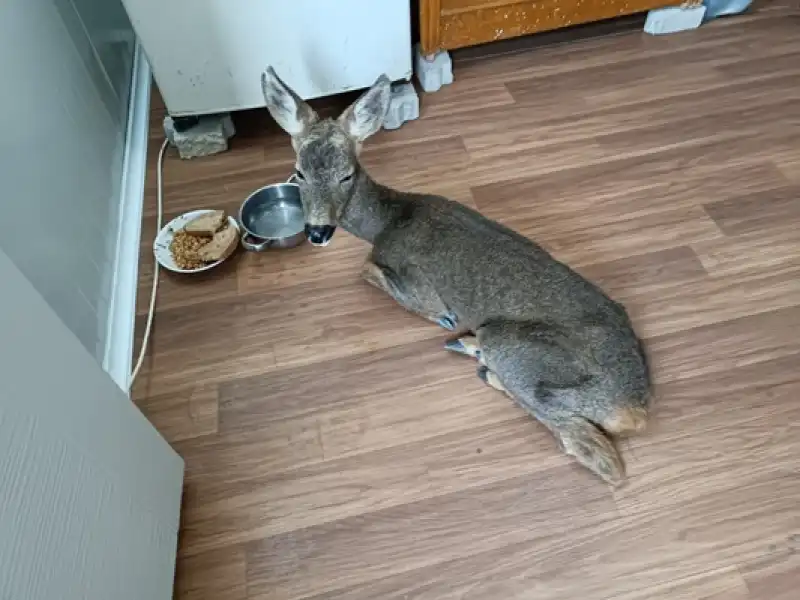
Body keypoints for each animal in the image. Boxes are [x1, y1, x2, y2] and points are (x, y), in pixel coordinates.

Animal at [262, 68, 648, 486]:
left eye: (346, 175)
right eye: (299, 172)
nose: (317, 232)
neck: (386, 221)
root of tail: (634, 408)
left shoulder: (418, 283)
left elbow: (367, 270)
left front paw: (443, 321)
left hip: (516, 350)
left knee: (594, 452)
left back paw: (477, 358)